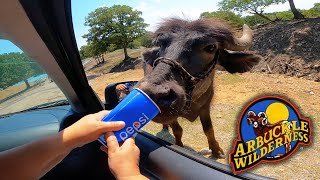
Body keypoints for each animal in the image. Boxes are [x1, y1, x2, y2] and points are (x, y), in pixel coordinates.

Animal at [136, 18, 262, 158]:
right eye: (160, 45)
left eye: (211, 47)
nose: (152, 92)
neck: (193, 100)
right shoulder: (173, 115)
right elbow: (178, 130)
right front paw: (179, 146)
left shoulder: (205, 107)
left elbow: (208, 129)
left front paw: (216, 150)